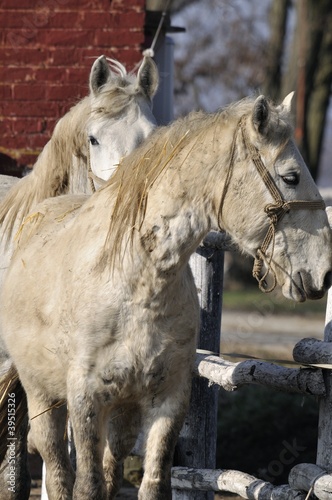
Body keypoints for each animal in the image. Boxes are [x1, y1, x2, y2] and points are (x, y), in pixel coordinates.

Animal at [1, 92, 330, 498]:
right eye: (291, 177)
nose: (324, 271)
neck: (135, 284)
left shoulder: (168, 401)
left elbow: (153, 484)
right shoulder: (85, 401)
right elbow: (86, 485)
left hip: (122, 413)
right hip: (43, 396)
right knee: (58, 471)